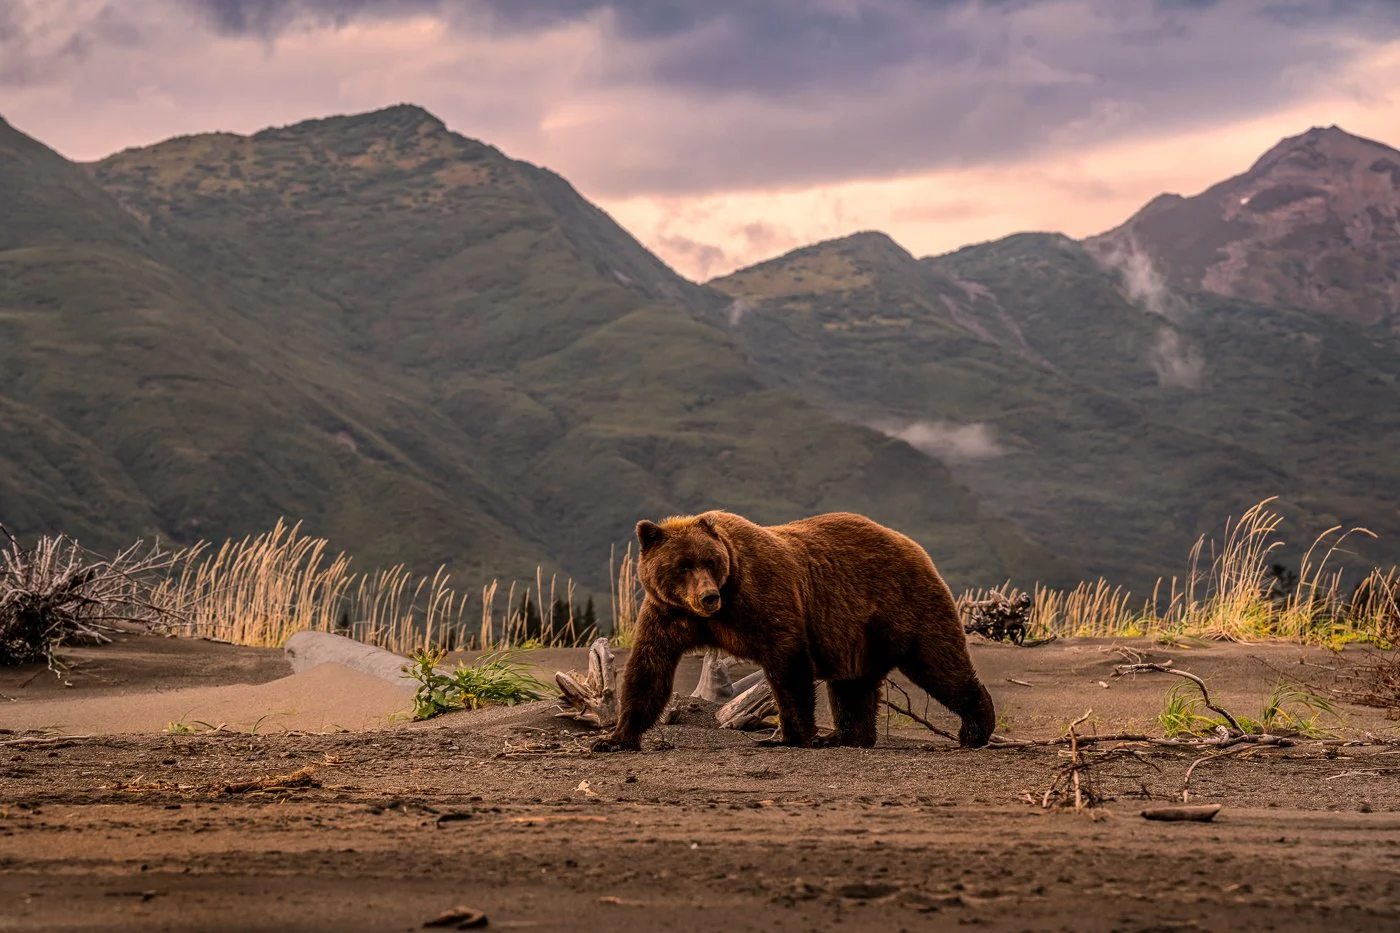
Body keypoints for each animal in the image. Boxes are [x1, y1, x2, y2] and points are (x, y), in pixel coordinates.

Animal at [592, 509, 996, 752]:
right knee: (852, 685)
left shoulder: (764, 596)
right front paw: (615, 738)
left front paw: (792, 736)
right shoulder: (668, 614)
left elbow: (787, 663)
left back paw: (975, 728)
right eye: (682, 565)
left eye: (709, 560)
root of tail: (913, 545)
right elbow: (649, 669)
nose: (708, 596)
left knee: (939, 662)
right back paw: (845, 736)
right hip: (856, 635)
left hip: (902, 607)